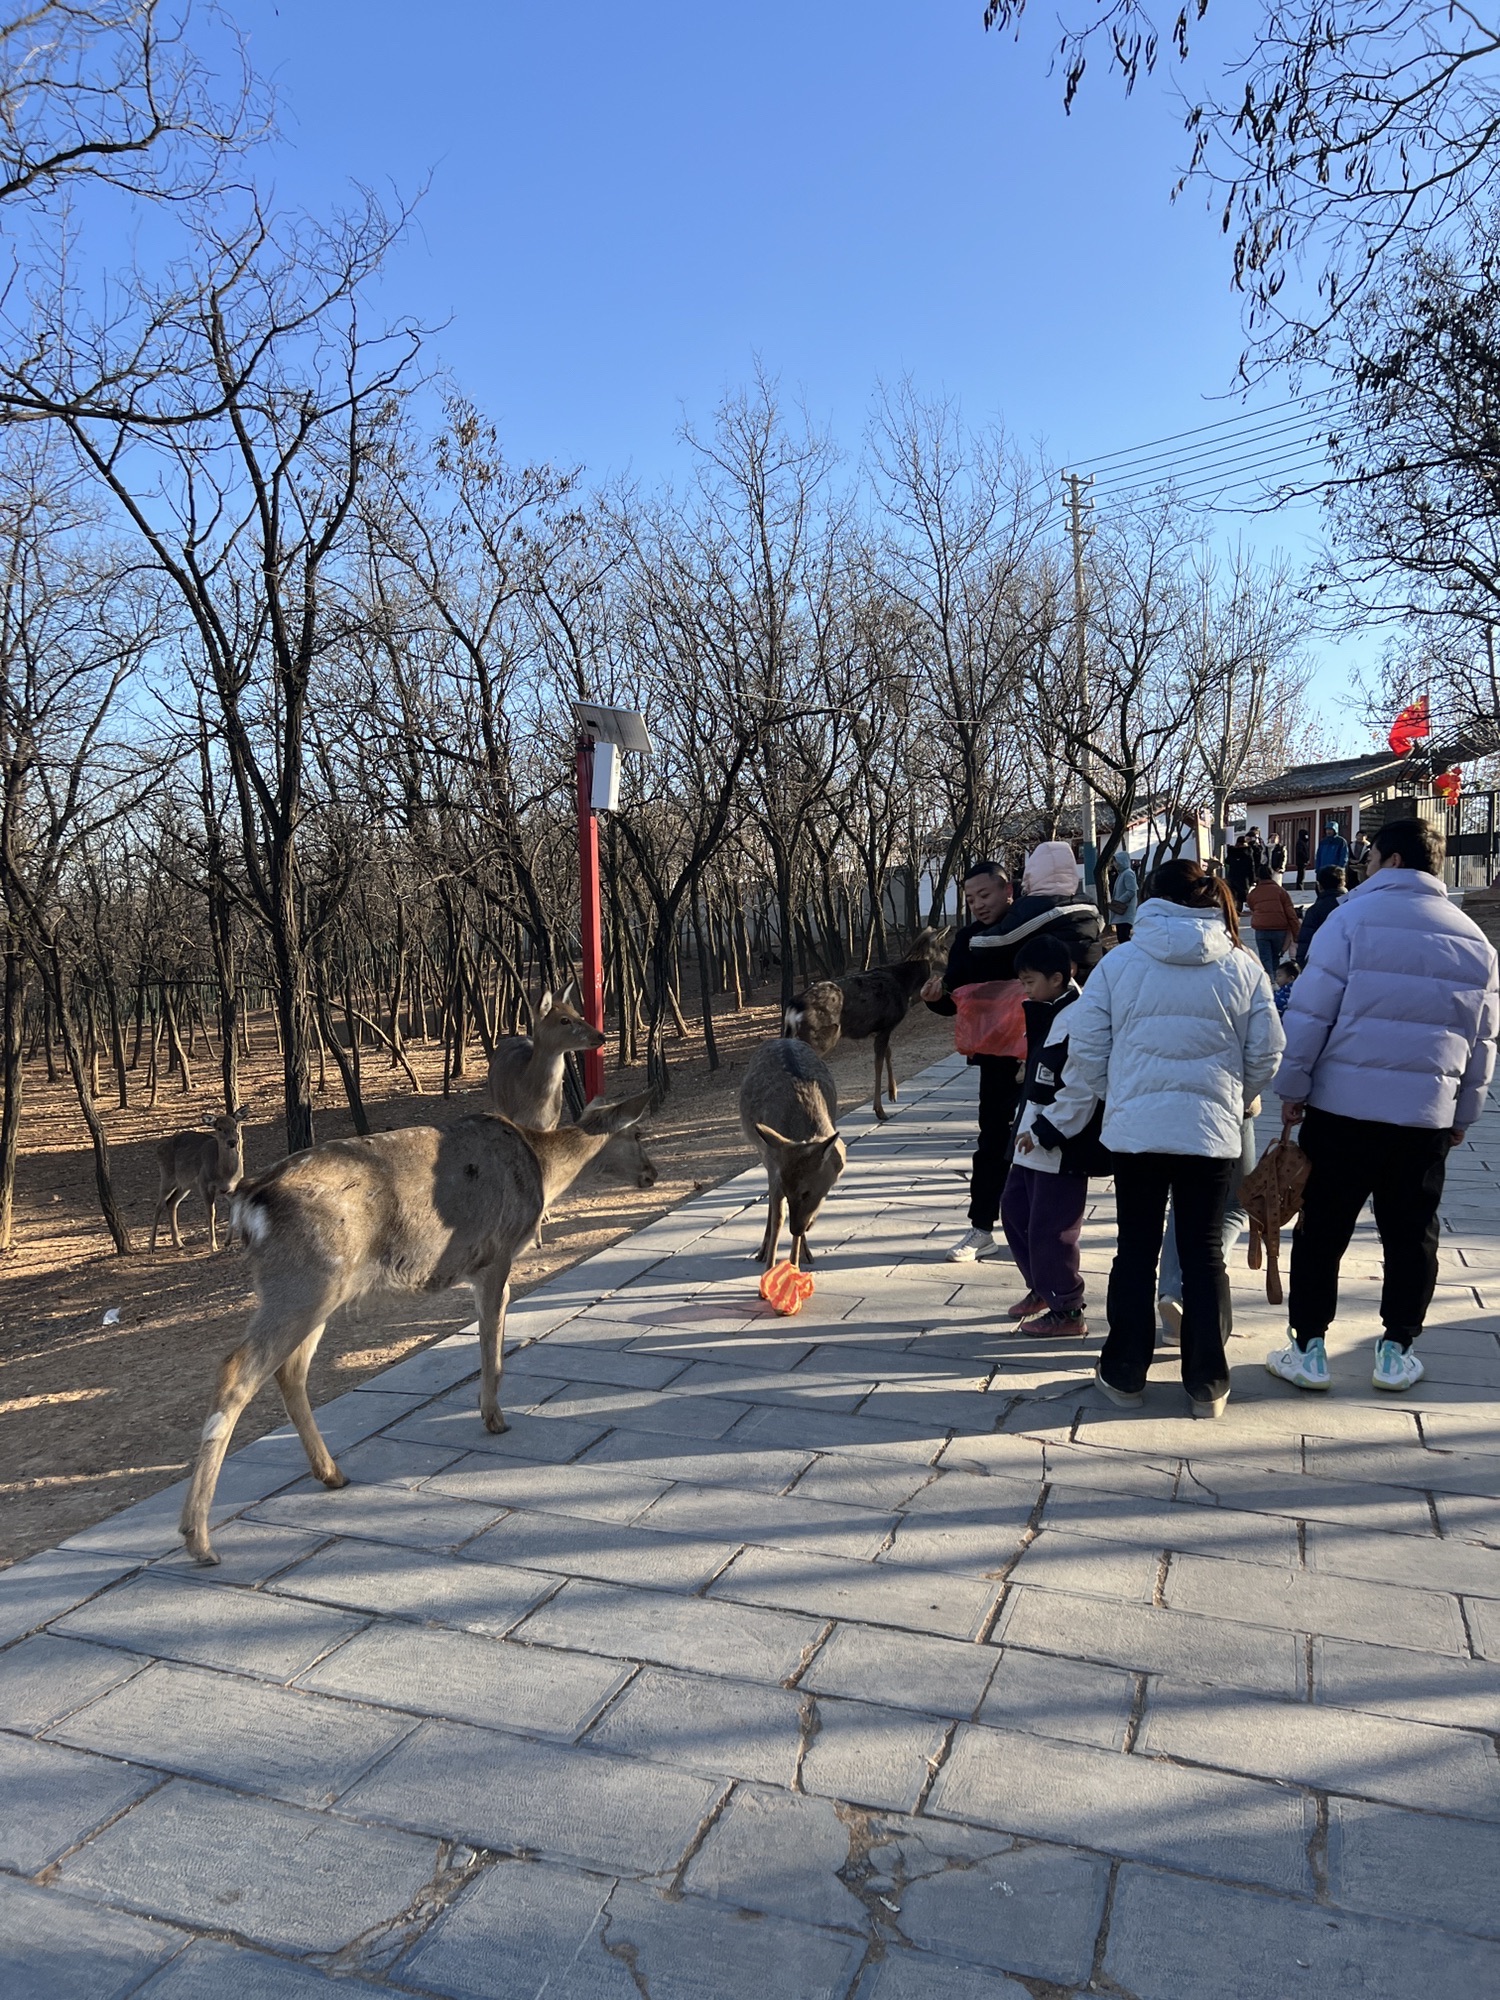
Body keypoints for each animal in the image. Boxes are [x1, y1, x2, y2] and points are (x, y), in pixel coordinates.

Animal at [150, 1107, 249, 1254]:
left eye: (235, 1125)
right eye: (219, 1128)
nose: (232, 1142)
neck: (225, 1174)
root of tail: (158, 1148)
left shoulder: (231, 1189)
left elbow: (233, 1211)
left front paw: (227, 1242)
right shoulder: (204, 1184)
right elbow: (211, 1213)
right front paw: (213, 1246)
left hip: (184, 1185)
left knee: (171, 1203)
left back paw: (179, 1243)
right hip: (167, 1176)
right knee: (159, 1205)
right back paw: (151, 1247)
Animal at [179, 1091, 653, 1565]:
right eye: (637, 1134)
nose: (651, 1173)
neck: (542, 1168)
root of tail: (248, 1203)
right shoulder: (497, 1252)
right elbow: (492, 1338)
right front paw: (494, 1417)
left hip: (313, 1290)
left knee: (290, 1371)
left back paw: (331, 1474)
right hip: (306, 1282)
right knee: (237, 1370)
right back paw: (199, 1539)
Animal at [739, 1038, 847, 1269]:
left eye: (806, 1192)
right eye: (789, 1192)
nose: (795, 1229)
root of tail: (783, 1038)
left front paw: (796, 1261)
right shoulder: (775, 1166)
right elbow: (778, 1217)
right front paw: (770, 1268)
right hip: (763, 1154)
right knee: (771, 1204)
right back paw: (762, 1251)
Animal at [784, 927, 949, 1122]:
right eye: (944, 948)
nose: (949, 965)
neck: (906, 988)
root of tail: (793, 1006)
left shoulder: (880, 1027)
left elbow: (888, 1053)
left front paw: (893, 1093)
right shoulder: (888, 1023)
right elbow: (878, 1063)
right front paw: (880, 1110)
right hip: (819, 1037)